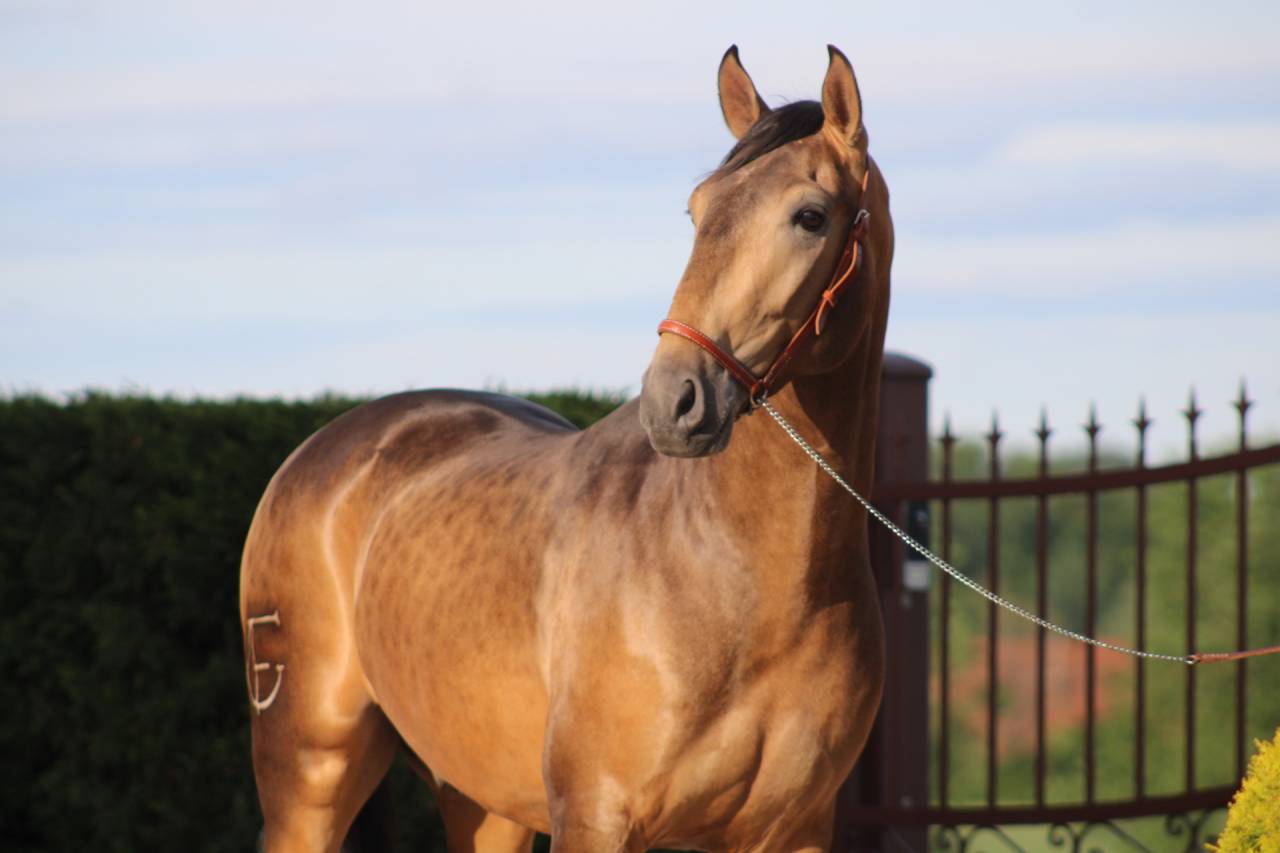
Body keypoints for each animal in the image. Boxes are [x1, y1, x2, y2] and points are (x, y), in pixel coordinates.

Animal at [240, 44, 893, 853]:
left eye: (809, 217)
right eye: (697, 209)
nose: (674, 399)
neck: (746, 583)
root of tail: (317, 454)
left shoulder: (795, 829)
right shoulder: (596, 815)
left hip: (483, 801)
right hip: (310, 779)